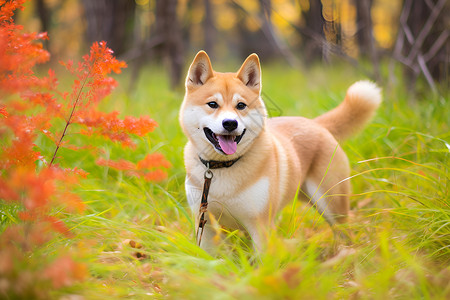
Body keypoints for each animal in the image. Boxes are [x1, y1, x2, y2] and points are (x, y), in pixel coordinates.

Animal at [178, 51, 382, 253]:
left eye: (241, 105)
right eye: (212, 104)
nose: (230, 123)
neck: (223, 167)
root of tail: (315, 123)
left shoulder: (260, 226)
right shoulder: (205, 225)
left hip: (331, 204)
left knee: (344, 231)